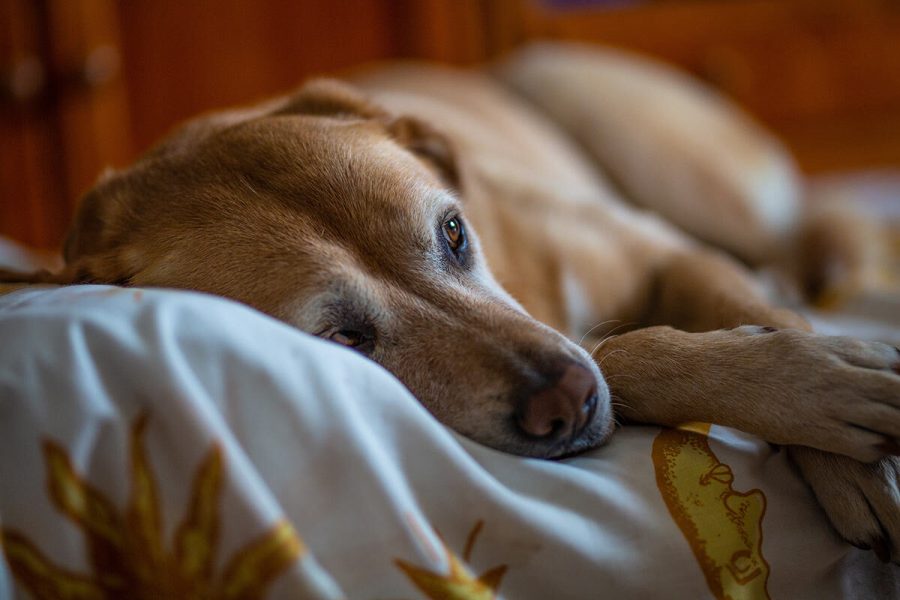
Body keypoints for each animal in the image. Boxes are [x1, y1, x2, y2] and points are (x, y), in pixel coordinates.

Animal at [1, 42, 900, 564]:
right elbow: (623, 351)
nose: (570, 402)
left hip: (672, 170)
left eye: (455, 232)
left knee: (818, 240)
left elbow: (767, 321)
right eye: (343, 338)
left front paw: (848, 432)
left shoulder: (667, 248)